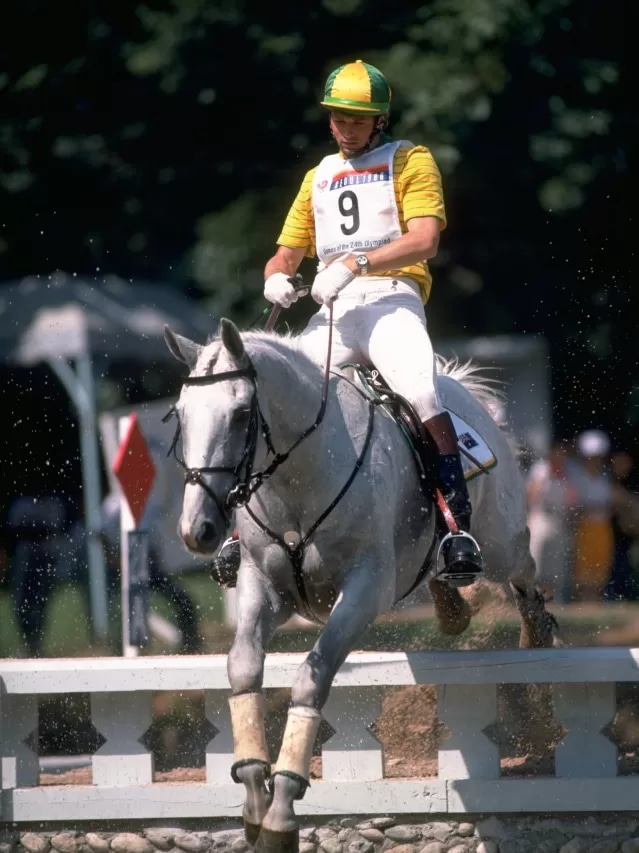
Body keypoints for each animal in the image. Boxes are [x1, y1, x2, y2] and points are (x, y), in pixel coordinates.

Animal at [165, 318, 560, 852]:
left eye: (242, 412)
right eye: (182, 415)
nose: (199, 530)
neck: (299, 474)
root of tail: (461, 387)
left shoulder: (364, 591)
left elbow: (311, 681)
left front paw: (282, 810)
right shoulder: (260, 585)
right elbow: (244, 669)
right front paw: (253, 797)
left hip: (501, 543)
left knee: (524, 575)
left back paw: (534, 646)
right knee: (443, 579)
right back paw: (451, 607)